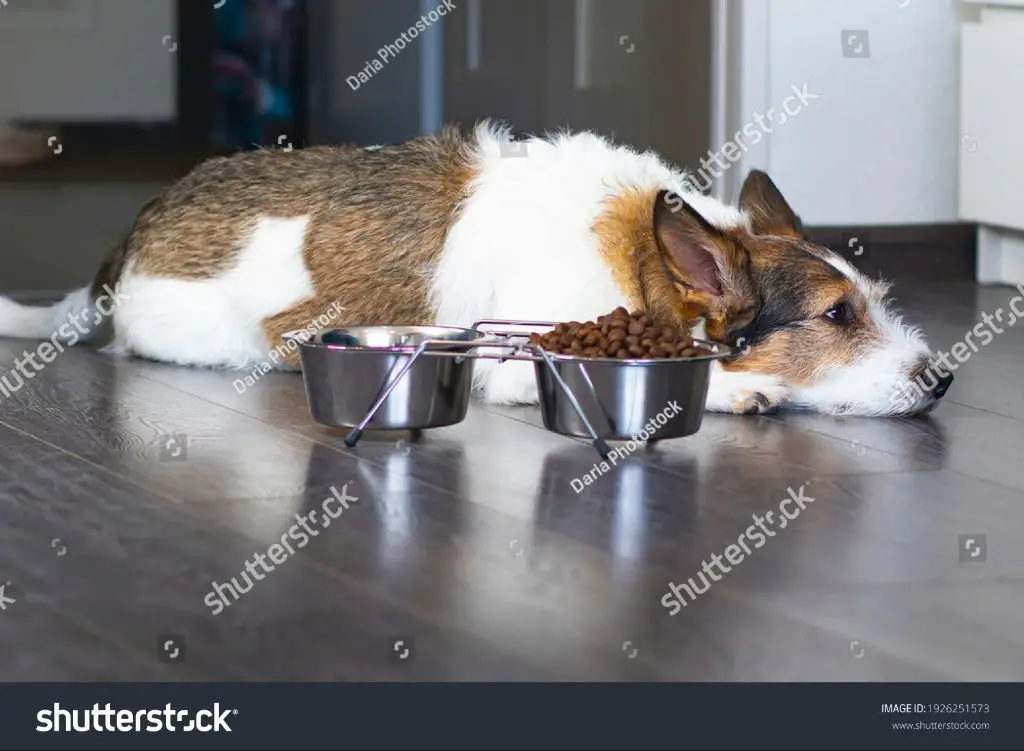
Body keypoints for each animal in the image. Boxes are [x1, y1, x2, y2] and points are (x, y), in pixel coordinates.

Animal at [0, 122, 950, 415]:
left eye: (874, 301)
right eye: (836, 316)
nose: (941, 380)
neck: (643, 261)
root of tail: (124, 253)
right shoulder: (520, 365)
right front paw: (736, 388)